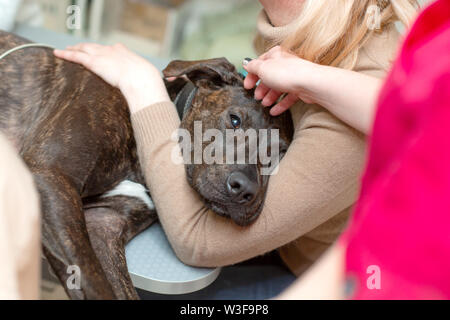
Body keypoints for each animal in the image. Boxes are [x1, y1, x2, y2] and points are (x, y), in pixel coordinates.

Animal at [0, 31, 294, 298]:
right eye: (234, 120)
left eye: (279, 154)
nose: (246, 190)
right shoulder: (49, 175)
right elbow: (96, 284)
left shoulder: (103, 226)